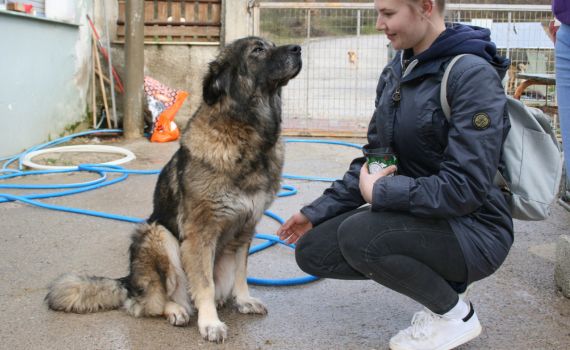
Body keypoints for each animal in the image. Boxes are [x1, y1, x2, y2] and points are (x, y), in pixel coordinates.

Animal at [45, 37, 302, 344]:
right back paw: (176, 310)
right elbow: (203, 284)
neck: (248, 134)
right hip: (156, 234)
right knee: (147, 303)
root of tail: (129, 280)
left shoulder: (245, 229)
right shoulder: (199, 233)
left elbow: (241, 273)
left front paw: (243, 300)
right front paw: (210, 323)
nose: (299, 49)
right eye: (258, 50)